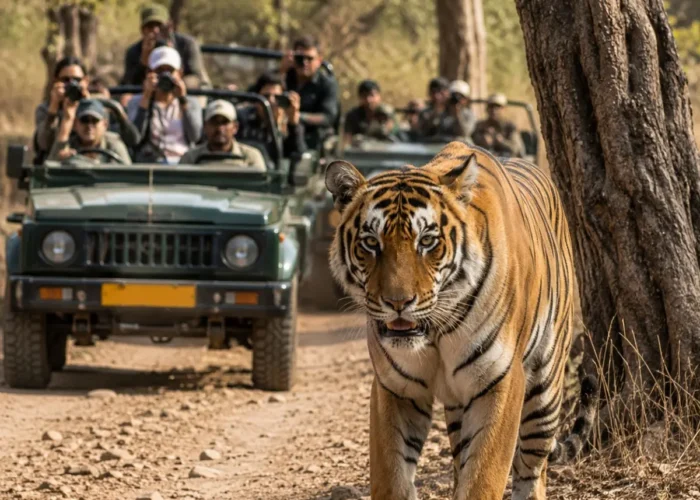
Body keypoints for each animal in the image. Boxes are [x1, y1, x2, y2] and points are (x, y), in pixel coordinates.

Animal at [325, 142, 597, 500]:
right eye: (371, 242)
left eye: (427, 241)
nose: (398, 303)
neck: (435, 332)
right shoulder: (395, 387)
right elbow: (392, 478)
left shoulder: (501, 381)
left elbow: (484, 478)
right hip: (457, 408)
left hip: (545, 390)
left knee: (533, 471)